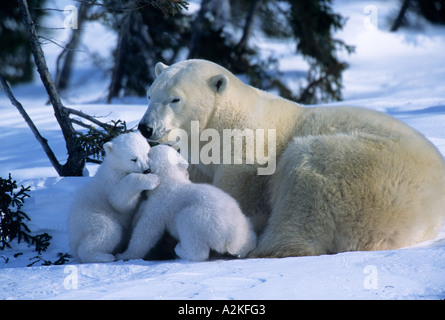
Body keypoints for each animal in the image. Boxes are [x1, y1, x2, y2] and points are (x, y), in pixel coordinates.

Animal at [67, 131, 160, 262]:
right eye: (133, 159)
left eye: (147, 153)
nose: (147, 170)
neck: (117, 167)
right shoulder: (111, 183)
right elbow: (120, 201)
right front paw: (153, 179)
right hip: (91, 218)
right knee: (107, 231)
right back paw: (104, 256)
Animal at [116, 146, 256, 262]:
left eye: (148, 152)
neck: (169, 181)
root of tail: (232, 239)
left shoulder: (160, 204)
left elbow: (146, 230)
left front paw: (124, 255)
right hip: (243, 225)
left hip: (203, 220)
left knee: (190, 230)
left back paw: (180, 249)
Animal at [137, 58, 444, 258]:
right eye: (150, 94)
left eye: (175, 99)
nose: (145, 127)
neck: (225, 122)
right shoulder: (203, 161)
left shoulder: (248, 155)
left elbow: (237, 198)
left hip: (358, 170)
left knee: (302, 194)